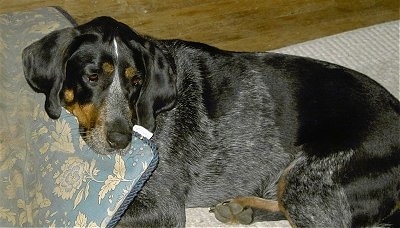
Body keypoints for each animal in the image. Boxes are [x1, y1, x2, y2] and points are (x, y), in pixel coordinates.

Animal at [23, 16, 398, 226]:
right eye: (92, 76)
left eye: (136, 80)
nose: (121, 140)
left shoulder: (162, 208)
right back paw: (242, 208)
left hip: (309, 184)